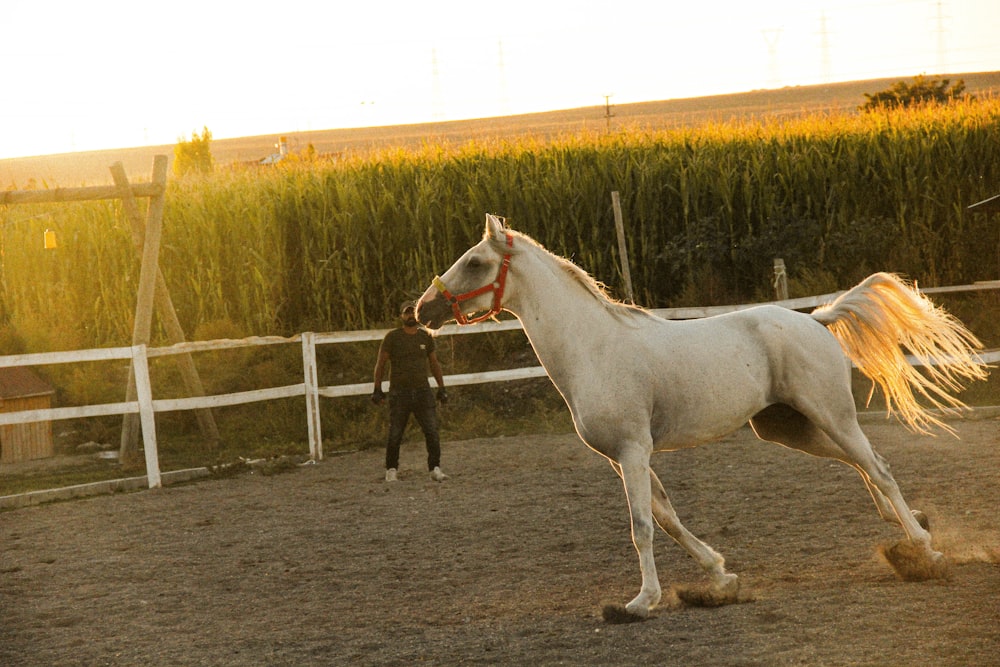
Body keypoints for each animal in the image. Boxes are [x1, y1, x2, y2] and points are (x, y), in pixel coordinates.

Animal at [414, 214, 984, 620]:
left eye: (475, 262)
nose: (420, 312)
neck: (593, 349)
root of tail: (816, 319)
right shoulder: (624, 458)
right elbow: (667, 518)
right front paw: (719, 576)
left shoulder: (633, 451)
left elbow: (642, 526)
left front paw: (641, 602)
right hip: (789, 428)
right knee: (866, 466)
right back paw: (913, 529)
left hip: (831, 414)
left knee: (879, 469)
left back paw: (923, 550)